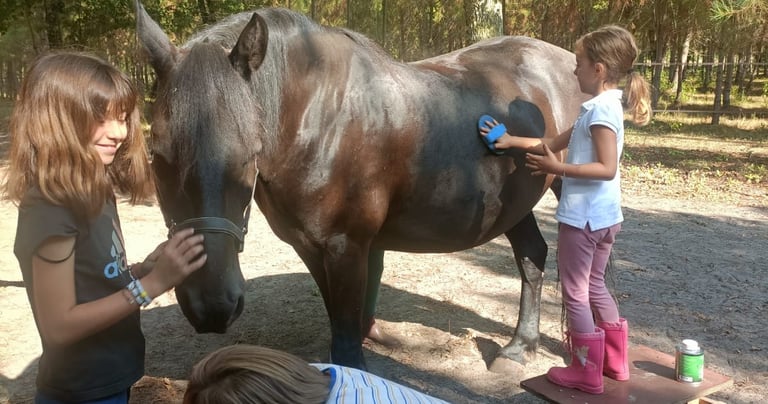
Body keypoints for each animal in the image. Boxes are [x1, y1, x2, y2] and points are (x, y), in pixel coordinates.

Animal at [135, 1, 586, 370]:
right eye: (156, 155)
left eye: (249, 155)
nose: (212, 306)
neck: (317, 119)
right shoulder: (310, 247)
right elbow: (340, 320)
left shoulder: (346, 247)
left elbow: (348, 337)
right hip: (515, 203)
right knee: (531, 254)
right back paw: (520, 348)